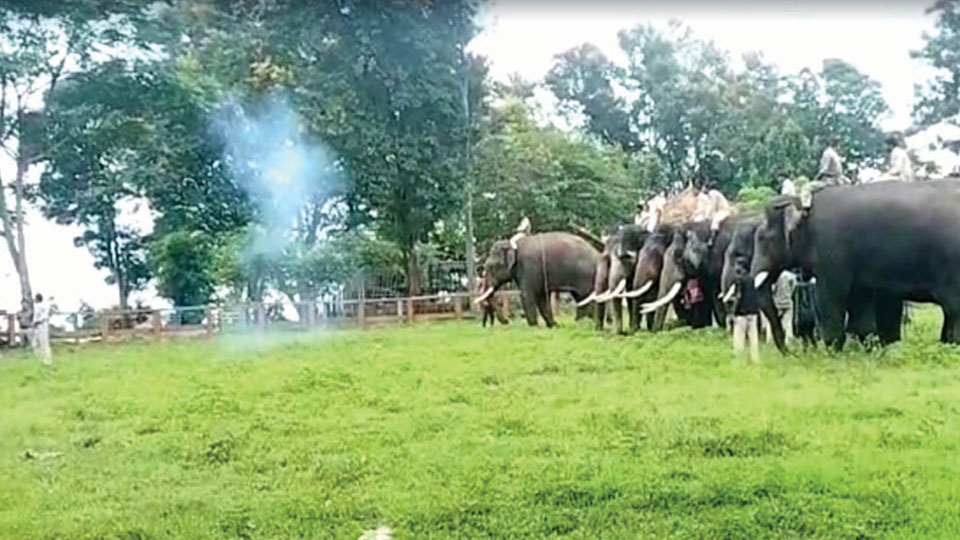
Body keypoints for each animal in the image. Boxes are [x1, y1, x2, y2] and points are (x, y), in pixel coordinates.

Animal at [748, 182, 960, 351]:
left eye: (762, 238)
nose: (790, 353)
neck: (804, 203)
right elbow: (862, 305)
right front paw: (869, 350)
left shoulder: (831, 251)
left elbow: (832, 297)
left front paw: (834, 352)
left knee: (953, 309)